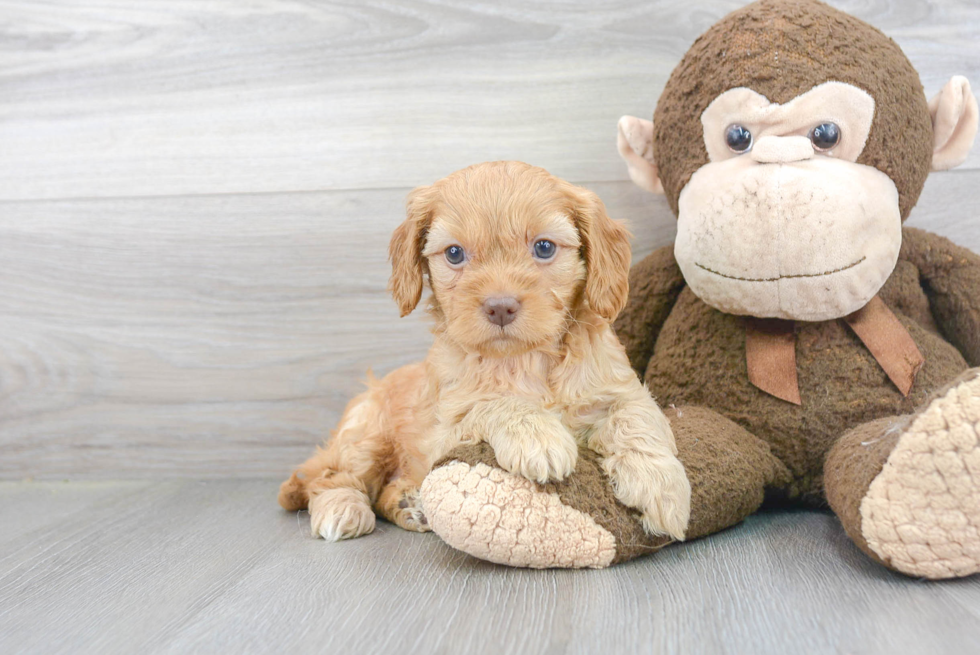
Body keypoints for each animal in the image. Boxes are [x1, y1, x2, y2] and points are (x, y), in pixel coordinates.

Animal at [276, 163, 688, 544]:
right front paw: (538, 435)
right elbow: (492, 403)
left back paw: (410, 503)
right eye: (455, 253)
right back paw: (342, 509)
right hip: (365, 435)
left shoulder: (616, 385)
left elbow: (636, 416)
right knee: (330, 476)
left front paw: (660, 486)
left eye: (544, 247)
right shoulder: (444, 429)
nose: (500, 306)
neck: (526, 358)